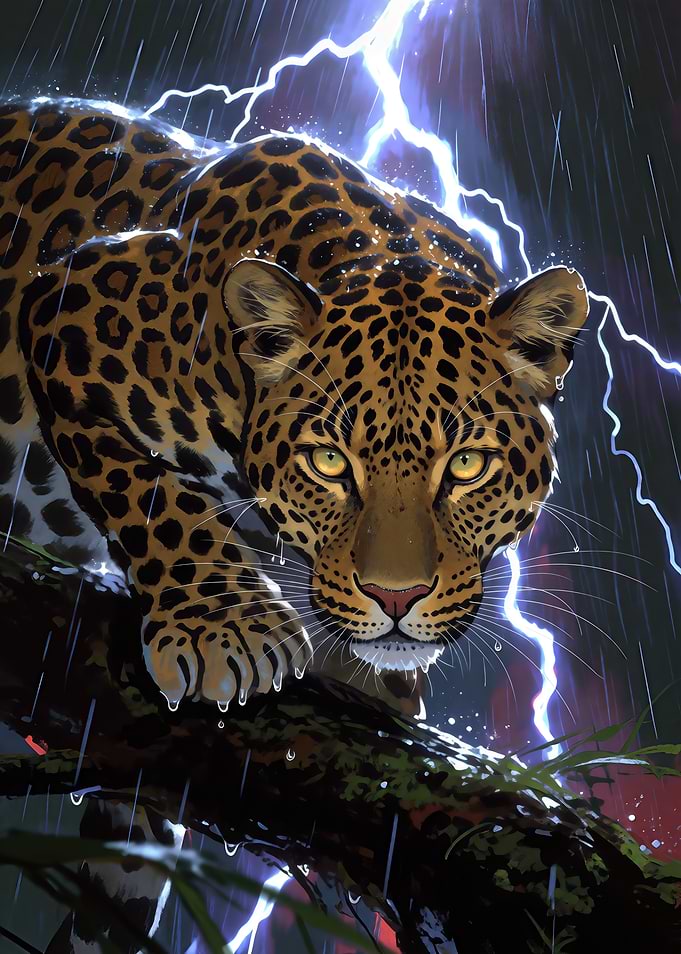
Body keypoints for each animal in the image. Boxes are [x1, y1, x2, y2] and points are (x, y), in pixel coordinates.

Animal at [0, 98, 589, 715]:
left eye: (467, 465)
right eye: (328, 461)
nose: (395, 598)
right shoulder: (61, 311)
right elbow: (147, 491)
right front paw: (227, 624)